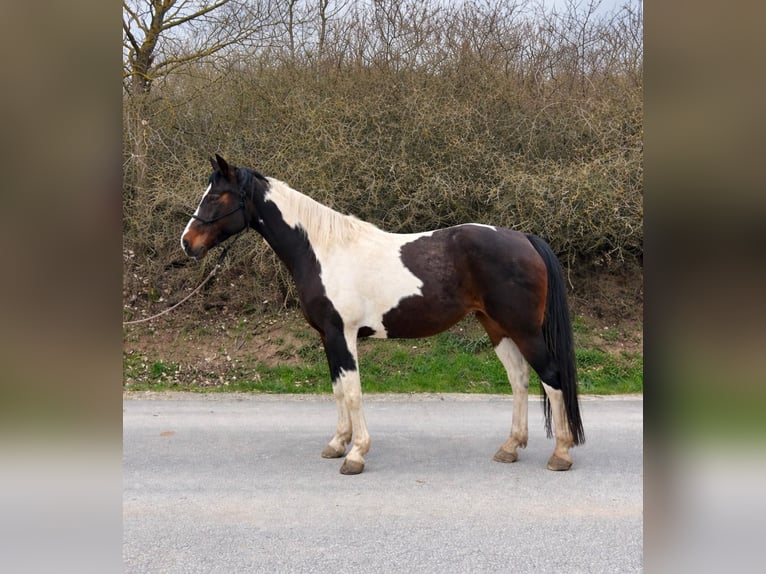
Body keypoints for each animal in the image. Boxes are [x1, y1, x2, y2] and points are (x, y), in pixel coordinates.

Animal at [181, 155, 584, 475]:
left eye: (216, 196)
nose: (187, 243)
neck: (321, 251)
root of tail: (524, 238)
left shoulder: (341, 334)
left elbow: (353, 392)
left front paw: (356, 455)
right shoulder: (328, 337)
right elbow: (338, 389)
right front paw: (337, 443)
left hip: (525, 330)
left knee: (551, 378)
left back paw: (561, 453)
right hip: (497, 328)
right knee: (519, 379)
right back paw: (510, 447)